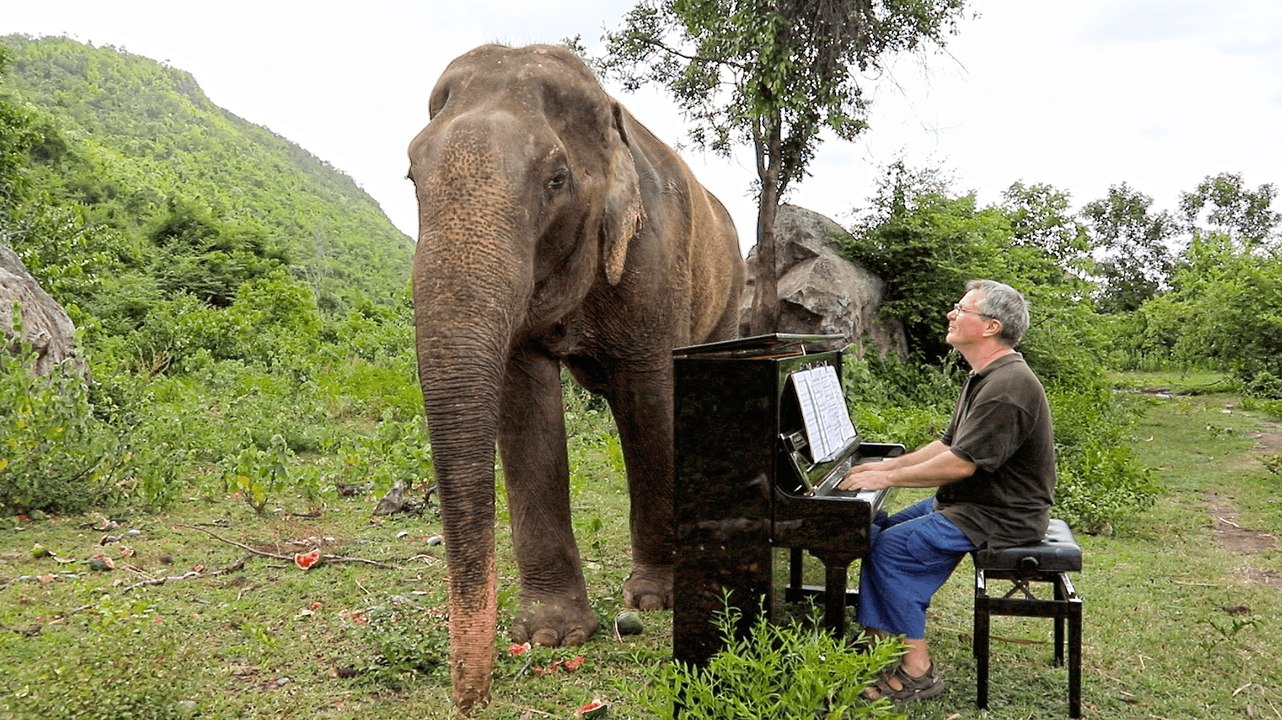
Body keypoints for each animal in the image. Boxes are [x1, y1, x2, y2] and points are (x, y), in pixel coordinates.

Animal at [406, 44, 745, 712]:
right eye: (410, 177)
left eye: (556, 180)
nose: (469, 699)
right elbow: (525, 408)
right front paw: (550, 634)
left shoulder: (655, 256)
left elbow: (650, 402)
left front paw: (655, 599)